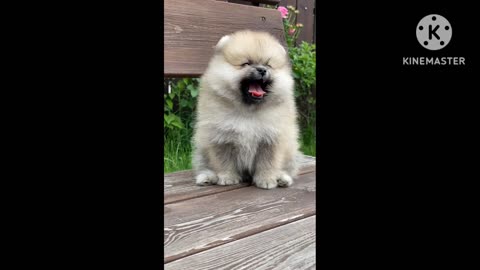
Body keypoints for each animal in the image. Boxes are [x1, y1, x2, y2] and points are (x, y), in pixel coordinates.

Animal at [192, 30, 298, 190]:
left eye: (268, 65)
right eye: (246, 63)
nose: (262, 70)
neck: (248, 111)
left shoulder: (271, 138)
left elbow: (268, 163)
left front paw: (267, 180)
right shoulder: (220, 137)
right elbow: (224, 162)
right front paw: (228, 178)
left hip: (290, 150)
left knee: (287, 168)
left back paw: (282, 178)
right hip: (202, 150)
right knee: (205, 166)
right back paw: (207, 177)